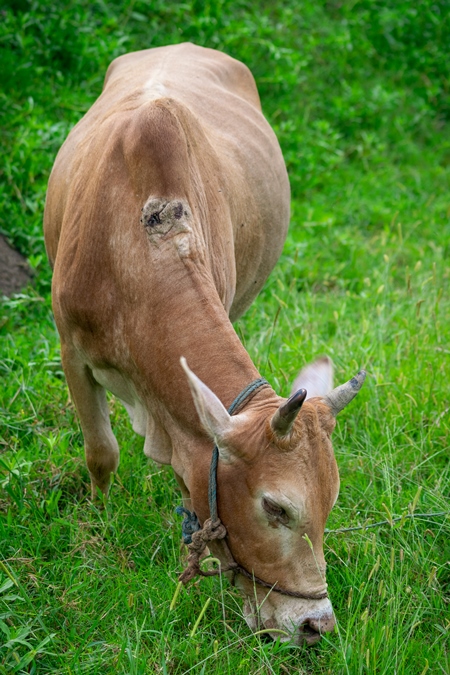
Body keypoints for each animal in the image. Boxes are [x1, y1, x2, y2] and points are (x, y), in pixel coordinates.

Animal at [43, 42, 366, 644]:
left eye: (330, 502)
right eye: (276, 508)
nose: (315, 625)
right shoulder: (70, 347)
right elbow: (101, 453)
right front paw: (97, 523)